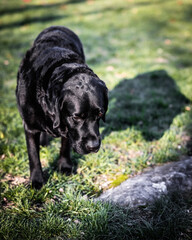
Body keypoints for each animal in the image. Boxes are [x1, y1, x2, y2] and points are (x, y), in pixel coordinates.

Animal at [16, 25, 108, 188]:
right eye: (76, 117)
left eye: (99, 114)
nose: (94, 146)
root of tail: (57, 26)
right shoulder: (30, 126)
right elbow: (33, 155)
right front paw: (36, 181)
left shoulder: (67, 127)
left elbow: (65, 145)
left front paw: (65, 167)